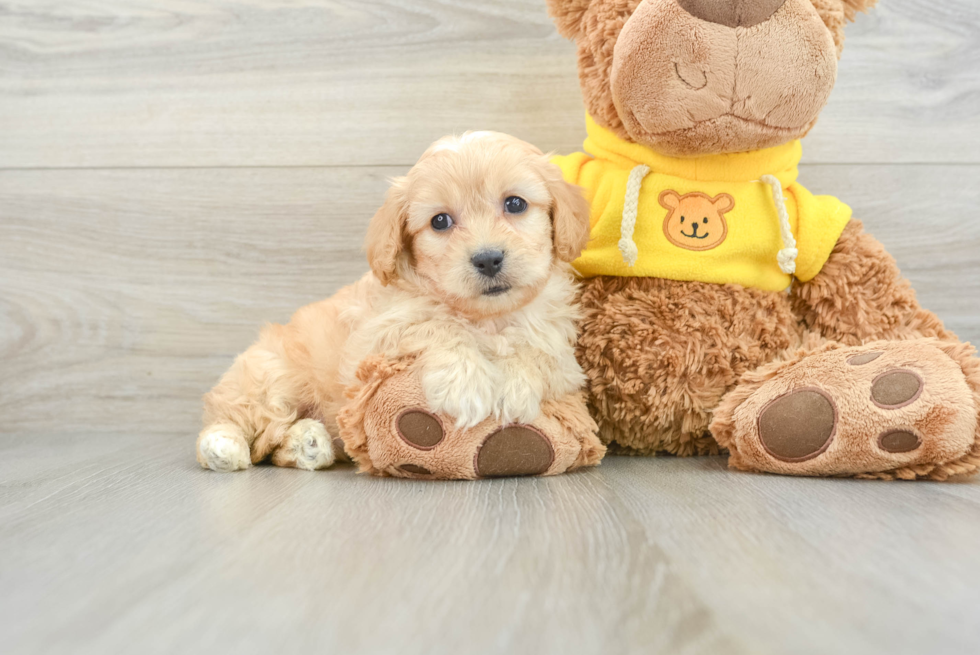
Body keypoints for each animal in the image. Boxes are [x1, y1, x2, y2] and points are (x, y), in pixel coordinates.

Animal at [195, 132, 584, 472]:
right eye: (440, 221)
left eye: (515, 203)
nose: (488, 259)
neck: (486, 317)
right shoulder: (375, 338)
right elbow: (436, 324)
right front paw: (465, 385)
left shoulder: (561, 349)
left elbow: (538, 349)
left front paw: (516, 388)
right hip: (271, 378)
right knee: (240, 420)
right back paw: (223, 447)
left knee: (275, 444)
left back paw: (309, 443)